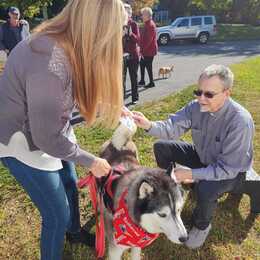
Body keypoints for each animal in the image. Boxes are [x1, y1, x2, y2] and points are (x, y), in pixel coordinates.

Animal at [99, 119, 187, 260]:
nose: (184, 238)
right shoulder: (115, 251)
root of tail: (118, 144)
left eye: (179, 209)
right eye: (162, 214)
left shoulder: (137, 246)